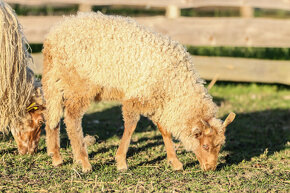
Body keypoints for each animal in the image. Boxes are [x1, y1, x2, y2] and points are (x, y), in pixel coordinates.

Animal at [42, 12, 234, 172]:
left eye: (219, 146)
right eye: (205, 146)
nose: (211, 168)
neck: (176, 84)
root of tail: (54, 36)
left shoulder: (158, 101)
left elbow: (164, 130)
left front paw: (175, 162)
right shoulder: (139, 96)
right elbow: (131, 126)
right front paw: (121, 161)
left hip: (54, 80)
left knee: (52, 115)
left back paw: (56, 157)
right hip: (80, 84)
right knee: (71, 118)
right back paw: (83, 161)